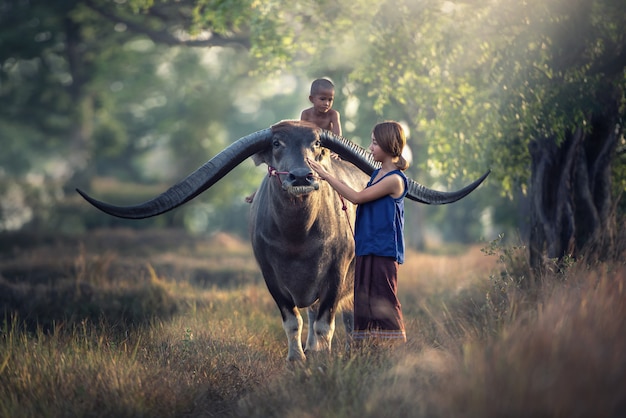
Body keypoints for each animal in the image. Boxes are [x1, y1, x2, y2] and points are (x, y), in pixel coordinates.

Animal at [78, 119, 488, 360]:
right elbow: (292, 321)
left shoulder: (336, 275)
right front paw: (297, 361)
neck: (297, 239)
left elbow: (323, 323)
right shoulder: (270, 277)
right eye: (276, 143)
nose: (302, 176)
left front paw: (319, 361)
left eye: (317, 145)